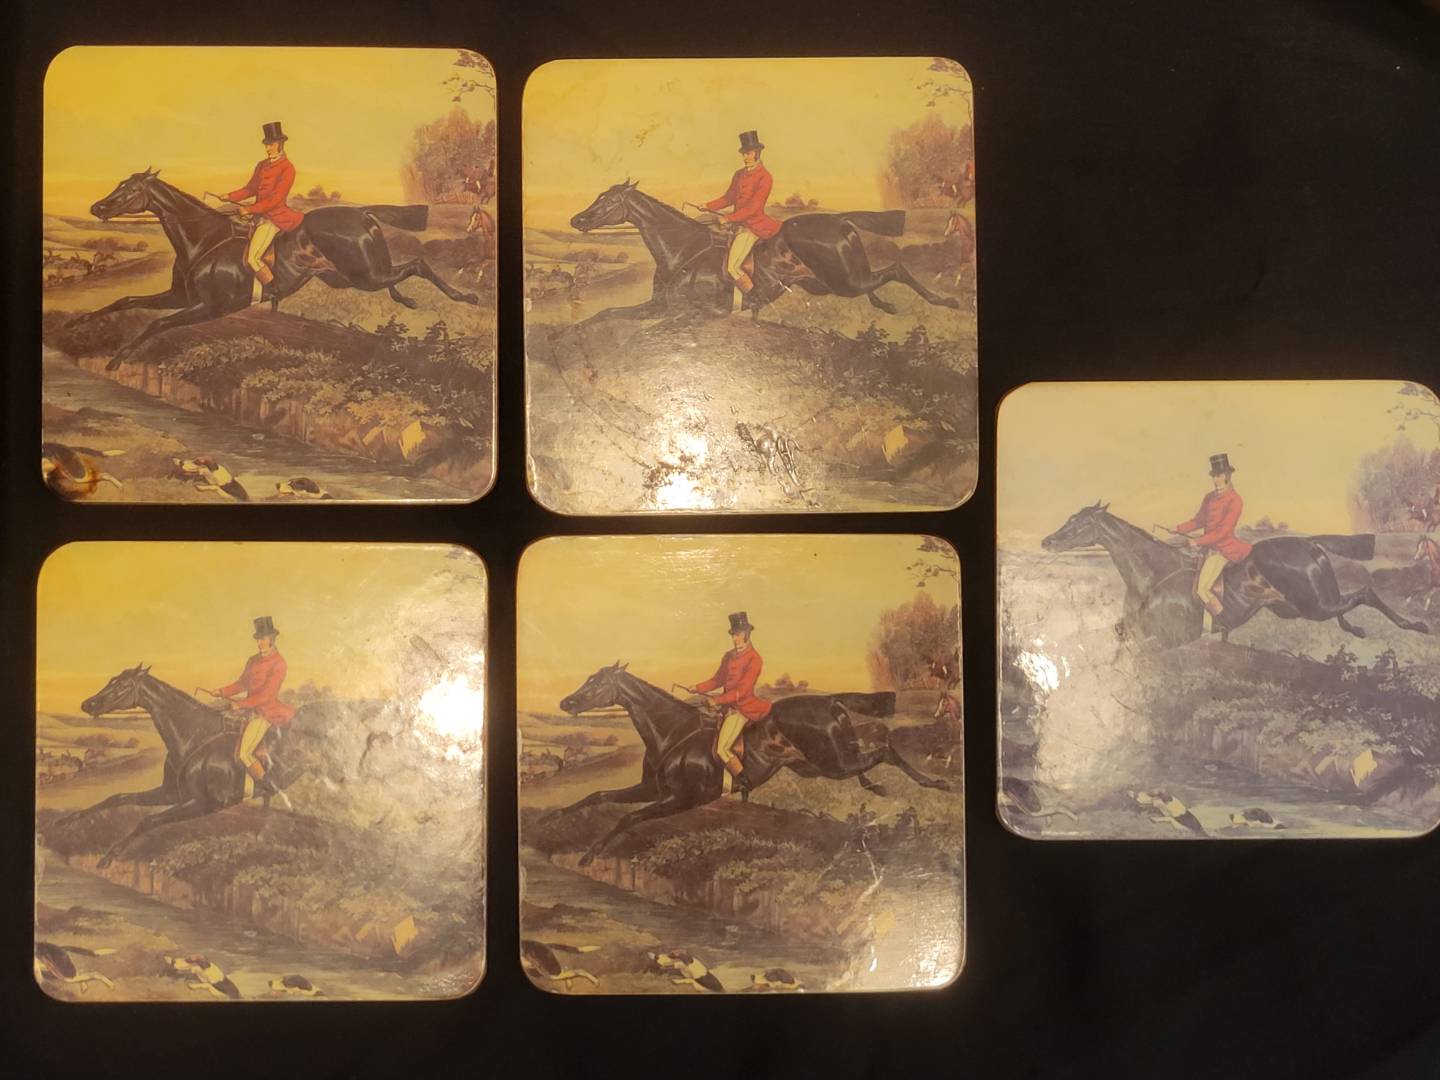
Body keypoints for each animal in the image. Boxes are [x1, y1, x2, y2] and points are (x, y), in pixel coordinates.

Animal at [52, 665, 322, 868]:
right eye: (112, 680)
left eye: (123, 686)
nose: (88, 704)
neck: (195, 736)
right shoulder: (172, 793)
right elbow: (117, 798)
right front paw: (65, 822)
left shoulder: (205, 804)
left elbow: (148, 821)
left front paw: (108, 856)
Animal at [69, 169, 480, 370]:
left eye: (128, 189)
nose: (97, 208)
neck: (204, 240)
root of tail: (361, 212)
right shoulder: (178, 296)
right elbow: (126, 300)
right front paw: (78, 322)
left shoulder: (209, 307)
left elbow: (155, 324)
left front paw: (117, 358)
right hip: (349, 276)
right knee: (401, 274)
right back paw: (411, 301)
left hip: (365, 276)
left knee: (417, 265)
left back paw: (466, 296)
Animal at [546, 663, 950, 865]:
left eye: (597, 683)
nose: (566, 703)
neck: (673, 732)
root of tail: (829, 700)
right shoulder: (650, 789)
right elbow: (599, 795)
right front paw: (551, 818)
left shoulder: (682, 800)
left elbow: (628, 818)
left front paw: (589, 855)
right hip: (820, 763)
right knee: (877, 748)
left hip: (832, 763)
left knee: (882, 750)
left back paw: (926, 785)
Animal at [567, 181, 962, 323]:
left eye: (607, 201)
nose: (576, 219)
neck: (682, 251)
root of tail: (839, 220)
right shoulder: (656, 304)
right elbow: (607, 313)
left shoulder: (685, 311)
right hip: (829, 283)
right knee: (881, 280)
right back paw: (887, 306)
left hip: (846, 281)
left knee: (896, 269)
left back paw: (946, 301)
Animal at [1041, 502, 1429, 647]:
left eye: (1078, 524)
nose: (1047, 541)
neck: (1153, 575)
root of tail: (1308, 543)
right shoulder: (1133, 634)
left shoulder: (1167, 640)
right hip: (1298, 607)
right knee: (1347, 605)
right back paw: (1356, 629)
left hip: (1313, 605)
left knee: (1365, 593)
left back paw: (1415, 625)